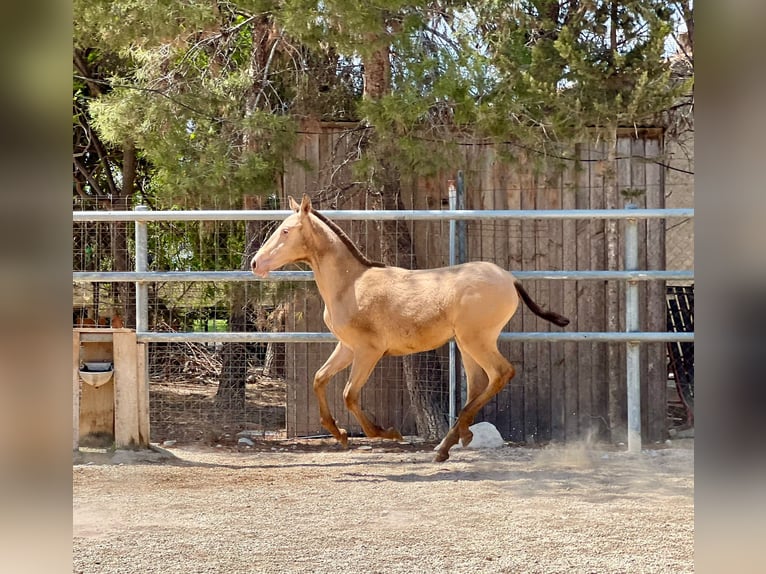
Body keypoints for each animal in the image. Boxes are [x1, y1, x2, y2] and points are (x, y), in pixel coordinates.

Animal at [252, 195, 568, 464]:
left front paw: (388, 433)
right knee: (478, 384)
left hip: (476, 340)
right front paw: (339, 434)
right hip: (467, 343)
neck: (350, 285)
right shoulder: (347, 347)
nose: (256, 263)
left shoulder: (368, 350)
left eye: (285, 231)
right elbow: (319, 378)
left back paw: (448, 443)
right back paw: (451, 443)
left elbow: (349, 394)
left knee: (501, 373)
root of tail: (510, 279)